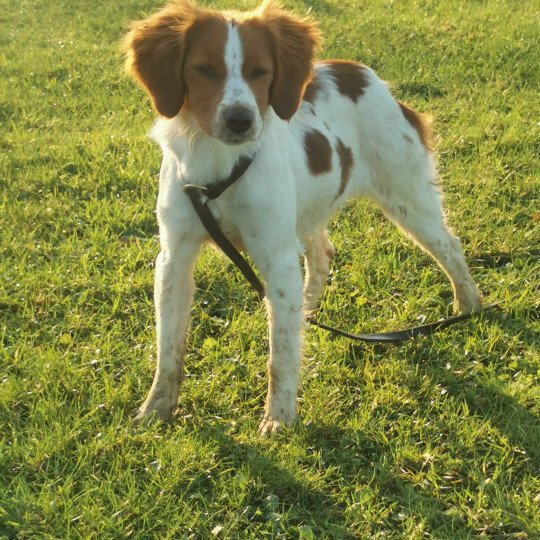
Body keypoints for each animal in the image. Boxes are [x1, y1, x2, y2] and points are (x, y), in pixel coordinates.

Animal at [124, 0, 484, 432]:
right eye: (204, 69)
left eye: (260, 71)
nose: (241, 120)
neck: (219, 164)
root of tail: (360, 73)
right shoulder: (174, 256)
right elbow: (169, 346)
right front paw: (156, 408)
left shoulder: (276, 256)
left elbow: (280, 353)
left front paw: (278, 419)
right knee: (321, 257)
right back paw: (308, 310)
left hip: (408, 198)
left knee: (450, 245)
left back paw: (469, 304)